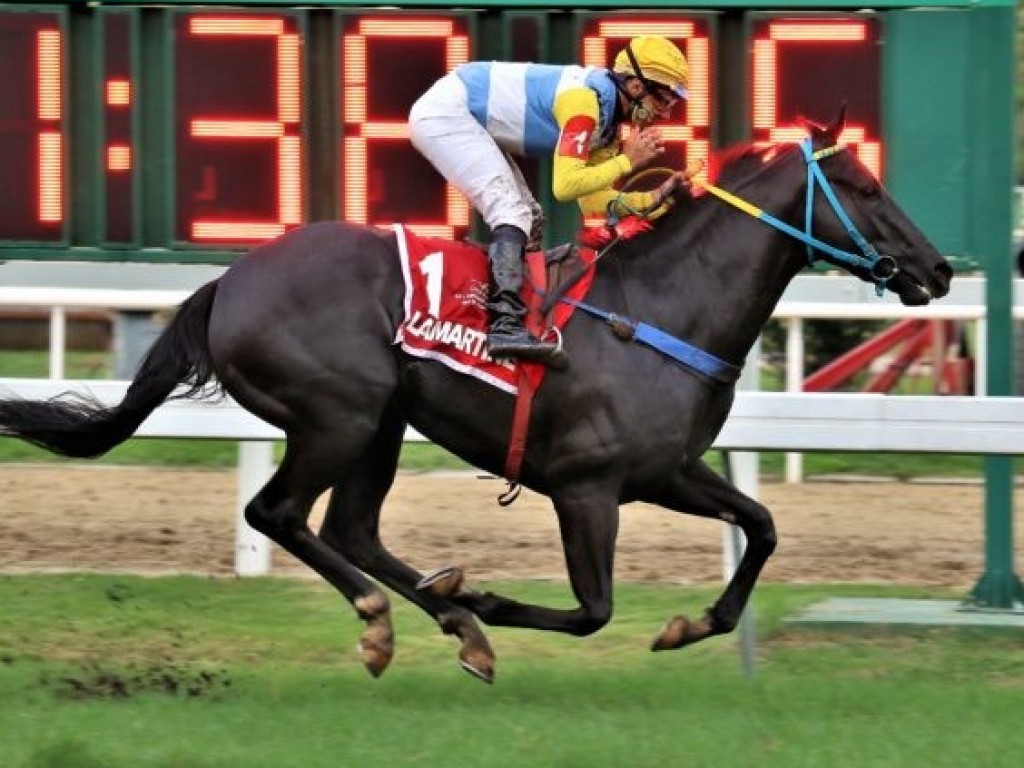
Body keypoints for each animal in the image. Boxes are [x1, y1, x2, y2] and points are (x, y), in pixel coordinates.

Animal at [0, 111, 950, 684]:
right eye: (866, 188)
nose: (938, 270)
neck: (660, 307)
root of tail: (229, 281)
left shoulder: (666, 471)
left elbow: (763, 526)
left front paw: (691, 624)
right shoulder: (586, 487)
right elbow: (594, 611)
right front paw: (491, 599)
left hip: (381, 423)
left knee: (351, 528)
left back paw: (451, 617)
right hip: (339, 414)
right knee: (280, 514)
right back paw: (406, 618)